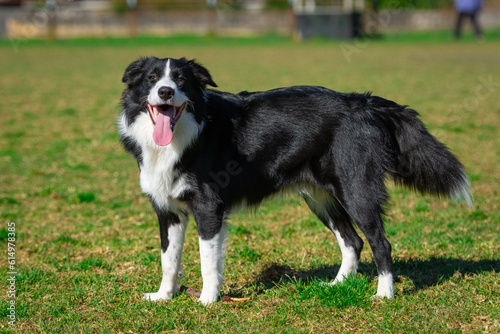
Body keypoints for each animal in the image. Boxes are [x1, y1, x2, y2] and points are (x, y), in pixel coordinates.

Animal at [119, 57, 470, 306]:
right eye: (152, 79)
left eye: (181, 80)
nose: (165, 92)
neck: (185, 132)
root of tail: (362, 102)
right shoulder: (168, 211)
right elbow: (168, 259)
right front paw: (164, 296)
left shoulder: (208, 208)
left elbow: (208, 260)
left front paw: (208, 300)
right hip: (320, 198)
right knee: (353, 241)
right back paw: (337, 286)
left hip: (356, 189)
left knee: (380, 243)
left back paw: (384, 294)